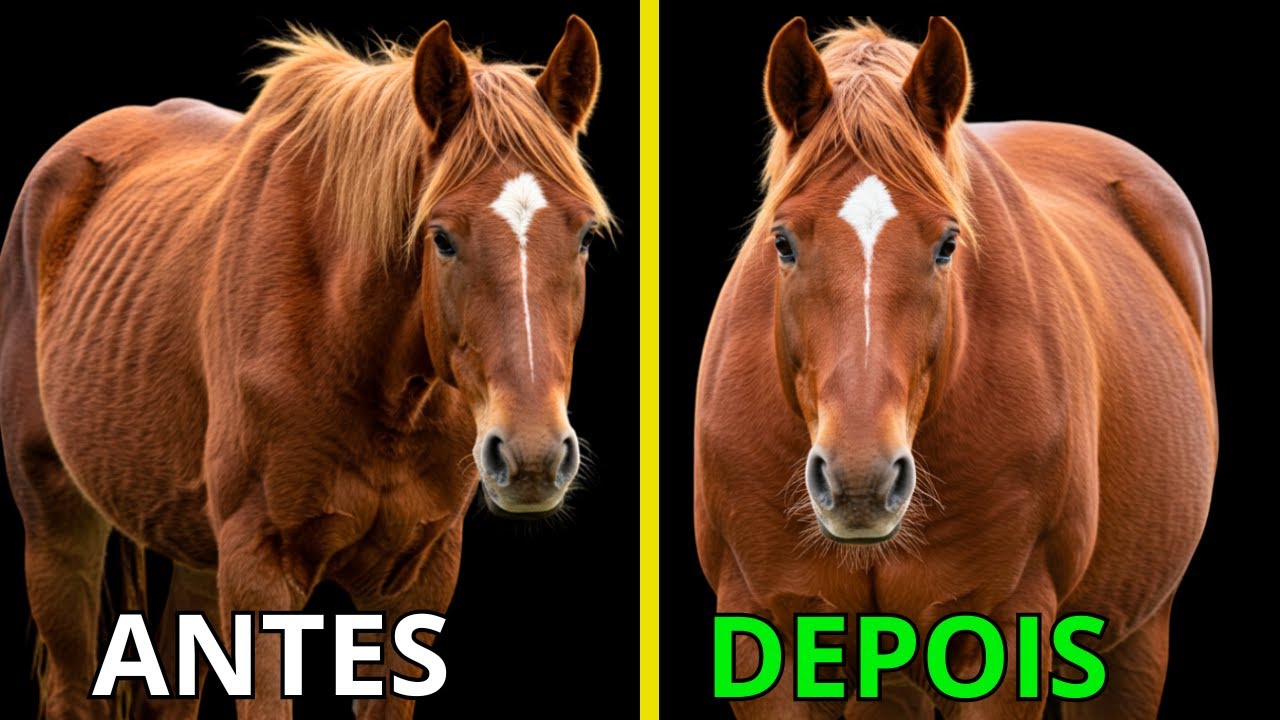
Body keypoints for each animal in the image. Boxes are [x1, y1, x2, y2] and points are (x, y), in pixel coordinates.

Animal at [0, 16, 610, 719]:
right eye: (441, 237)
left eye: (584, 236)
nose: (533, 457)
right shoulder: (262, 570)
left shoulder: (416, 579)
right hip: (55, 521)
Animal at [694, 17, 1215, 719]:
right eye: (781, 241)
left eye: (947, 243)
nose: (860, 481)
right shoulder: (764, 631)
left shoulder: (1008, 630)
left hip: (1136, 637)